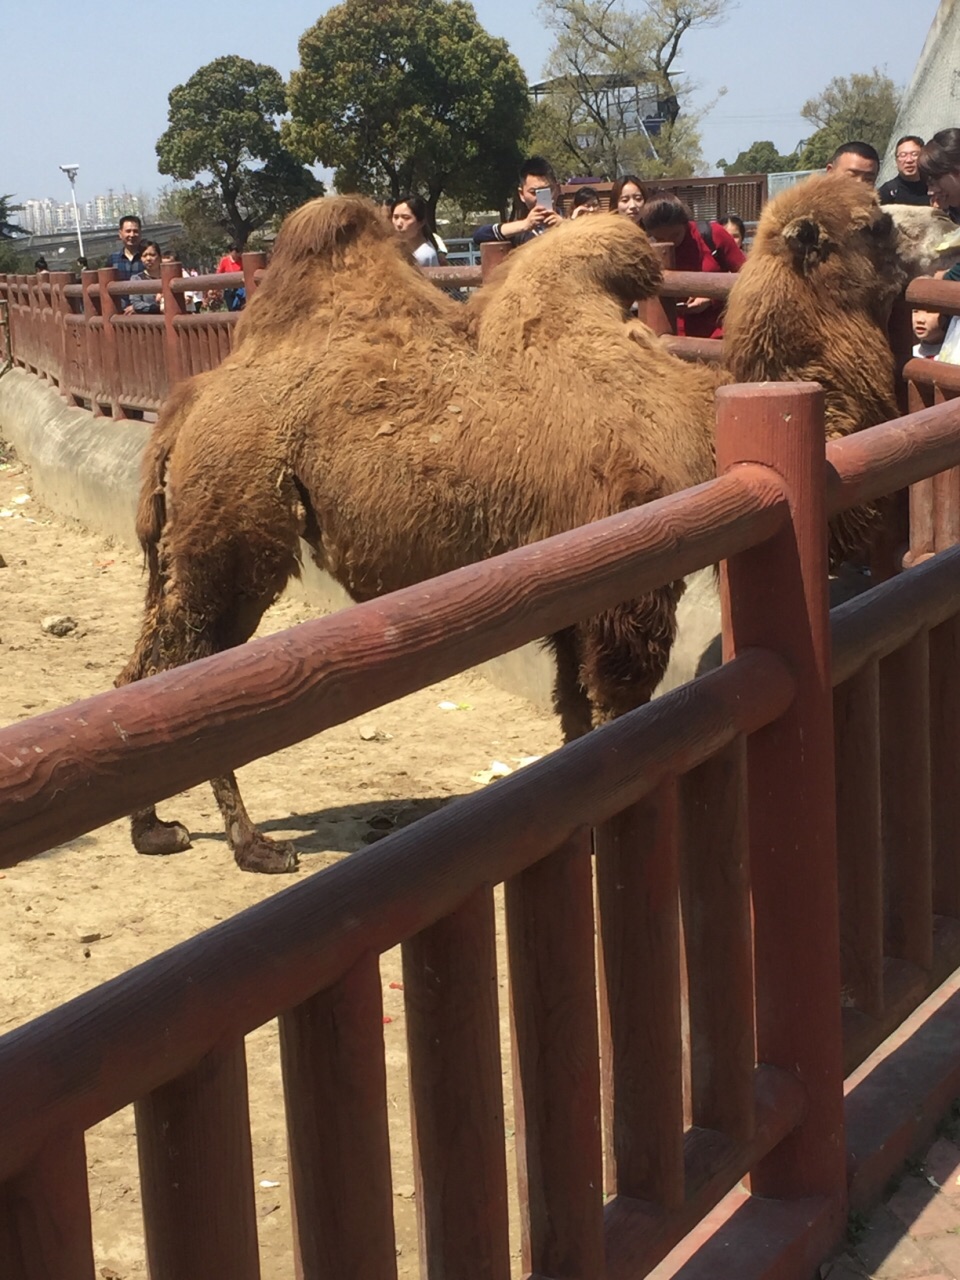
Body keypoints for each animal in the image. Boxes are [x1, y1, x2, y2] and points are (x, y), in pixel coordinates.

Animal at [118, 199, 721, 875]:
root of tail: (186, 407)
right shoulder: (630, 570)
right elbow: (621, 697)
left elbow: (572, 697)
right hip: (235, 527)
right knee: (191, 669)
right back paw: (255, 847)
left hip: (188, 542)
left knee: (146, 665)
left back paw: (156, 830)